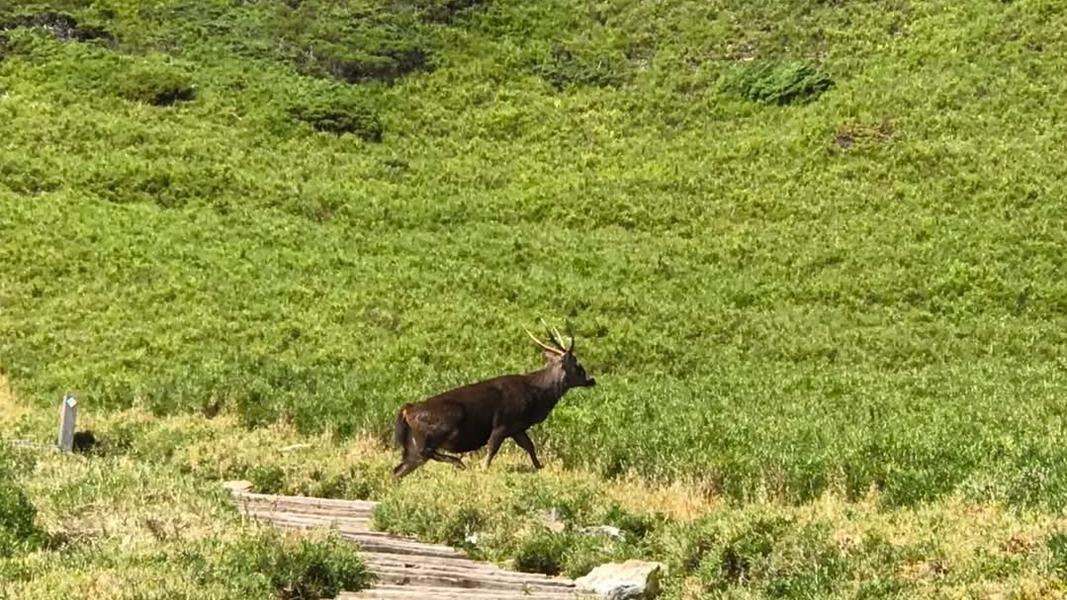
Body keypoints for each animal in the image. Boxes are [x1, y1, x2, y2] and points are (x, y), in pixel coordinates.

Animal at [392, 324, 597, 479]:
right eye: (577, 365)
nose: (591, 380)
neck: (536, 397)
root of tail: (406, 411)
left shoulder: (517, 427)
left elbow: (530, 446)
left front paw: (541, 467)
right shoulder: (503, 423)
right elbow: (492, 449)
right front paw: (483, 469)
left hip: (413, 443)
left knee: (399, 469)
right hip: (444, 423)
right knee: (425, 453)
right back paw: (458, 462)